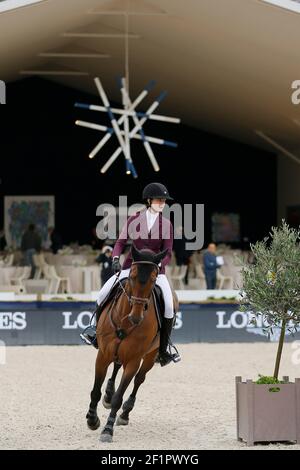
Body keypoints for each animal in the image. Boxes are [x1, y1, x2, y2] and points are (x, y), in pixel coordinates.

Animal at [85, 244, 178, 442]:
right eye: (133, 276)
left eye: (153, 279)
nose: (136, 317)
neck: (125, 321)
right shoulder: (102, 354)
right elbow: (95, 389)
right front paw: (92, 419)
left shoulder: (134, 361)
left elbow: (119, 397)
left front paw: (107, 430)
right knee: (116, 365)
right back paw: (108, 394)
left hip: (150, 355)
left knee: (139, 380)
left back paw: (125, 413)